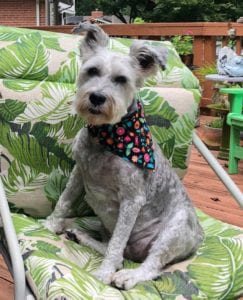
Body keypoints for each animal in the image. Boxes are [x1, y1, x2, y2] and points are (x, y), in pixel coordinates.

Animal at [44, 23, 204, 290]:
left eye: (122, 79)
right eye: (92, 71)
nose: (97, 97)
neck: (108, 135)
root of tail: (200, 236)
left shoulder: (132, 199)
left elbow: (117, 243)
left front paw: (102, 274)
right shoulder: (79, 173)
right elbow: (64, 201)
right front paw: (51, 224)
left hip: (173, 231)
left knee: (149, 265)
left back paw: (127, 275)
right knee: (119, 253)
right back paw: (80, 235)